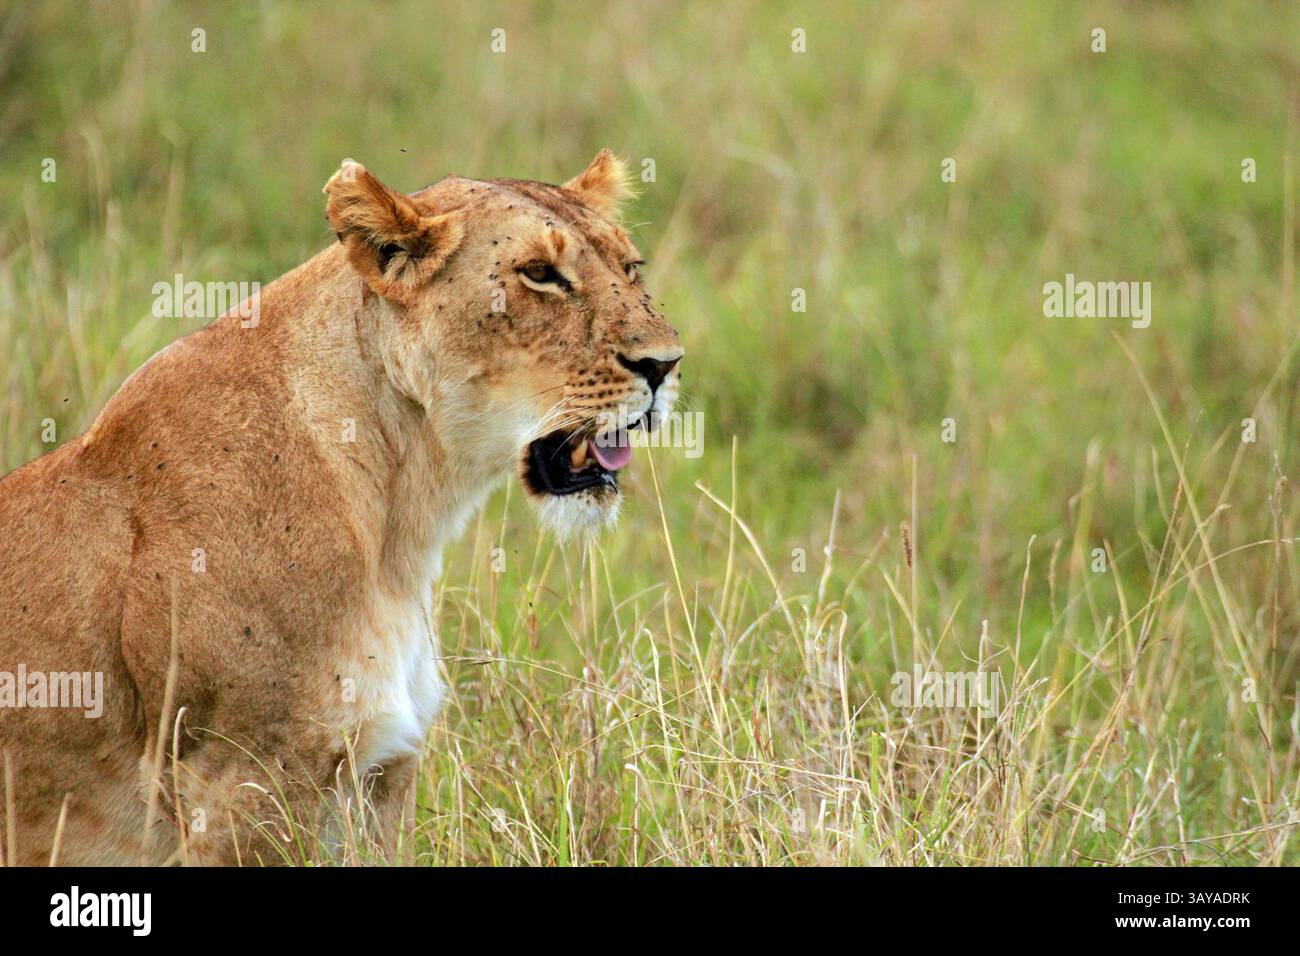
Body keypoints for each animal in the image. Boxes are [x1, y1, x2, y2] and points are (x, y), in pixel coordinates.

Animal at [0, 150, 683, 865]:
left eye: (630, 267)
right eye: (541, 274)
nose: (665, 365)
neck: (403, 516)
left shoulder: (383, 769)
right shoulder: (243, 780)